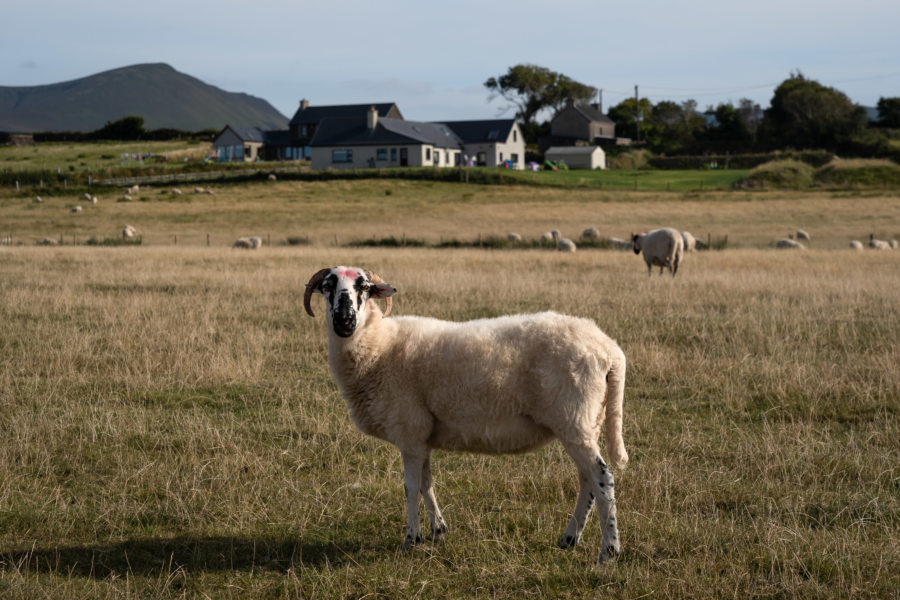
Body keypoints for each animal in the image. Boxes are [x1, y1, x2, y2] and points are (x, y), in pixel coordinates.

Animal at [306, 268, 628, 568]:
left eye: (364, 288)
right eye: (328, 286)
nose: (344, 320)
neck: (379, 347)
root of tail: (609, 349)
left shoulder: (409, 431)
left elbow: (410, 487)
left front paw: (412, 538)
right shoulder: (422, 435)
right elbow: (426, 483)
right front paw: (438, 531)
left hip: (573, 418)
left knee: (602, 477)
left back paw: (609, 551)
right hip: (586, 421)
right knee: (587, 480)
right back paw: (569, 538)